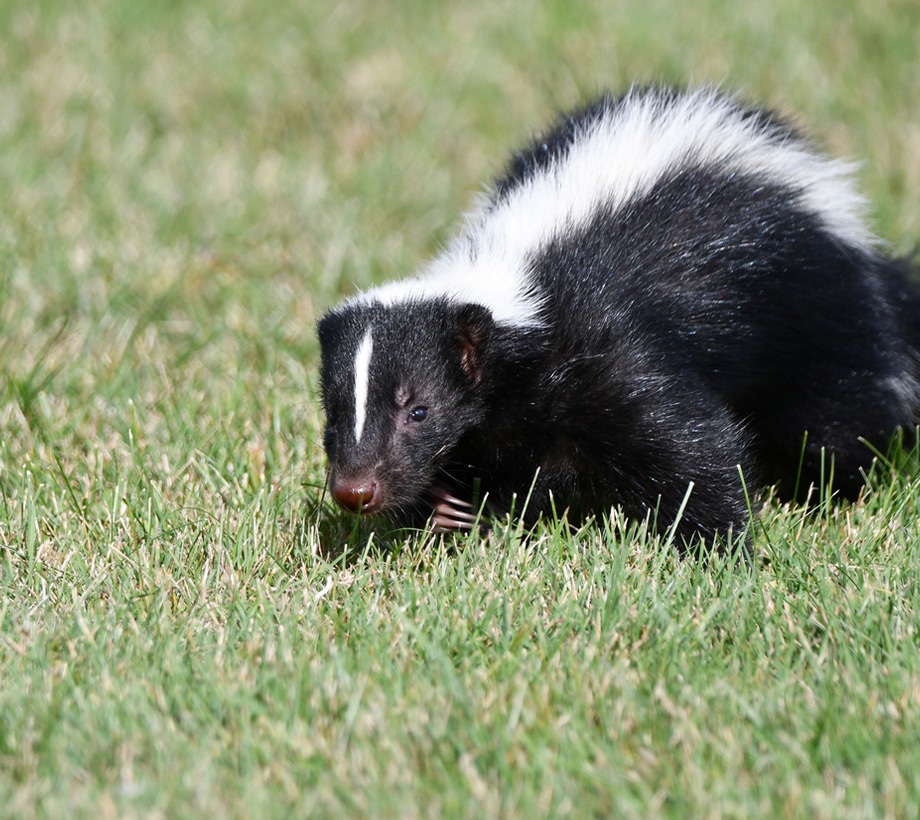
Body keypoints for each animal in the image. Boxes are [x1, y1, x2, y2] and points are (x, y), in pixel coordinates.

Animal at [318, 86, 920, 544]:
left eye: (418, 411)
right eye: (334, 414)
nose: (355, 491)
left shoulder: (612, 346)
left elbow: (692, 444)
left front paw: (723, 548)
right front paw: (448, 505)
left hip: (817, 316)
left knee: (836, 414)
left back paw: (825, 495)